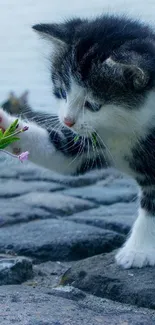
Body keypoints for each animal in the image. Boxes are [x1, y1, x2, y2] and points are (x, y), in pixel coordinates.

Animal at [1, 14, 155, 268]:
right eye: (62, 92)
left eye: (92, 105)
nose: (67, 121)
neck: (127, 127)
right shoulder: (92, 140)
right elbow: (61, 155)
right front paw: (3, 122)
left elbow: (152, 205)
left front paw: (137, 251)